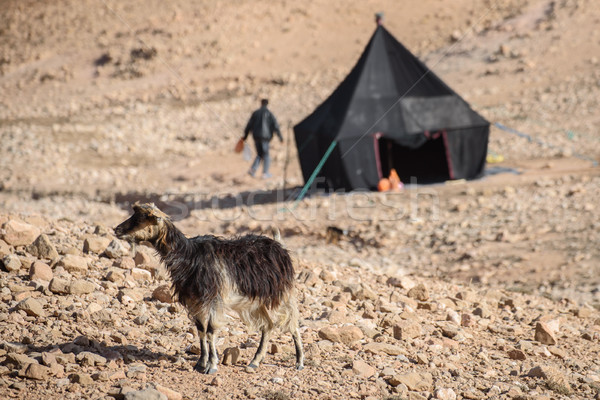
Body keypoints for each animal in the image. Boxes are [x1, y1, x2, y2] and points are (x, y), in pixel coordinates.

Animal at [113, 203, 304, 376]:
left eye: (140, 219)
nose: (117, 229)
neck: (188, 255)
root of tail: (280, 246)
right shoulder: (195, 301)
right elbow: (201, 331)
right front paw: (200, 363)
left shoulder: (213, 300)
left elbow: (211, 331)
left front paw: (212, 366)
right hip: (257, 301)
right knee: (268, 326)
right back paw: (254, 362)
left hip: (281, 294)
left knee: (292, 323)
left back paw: (299, 362)